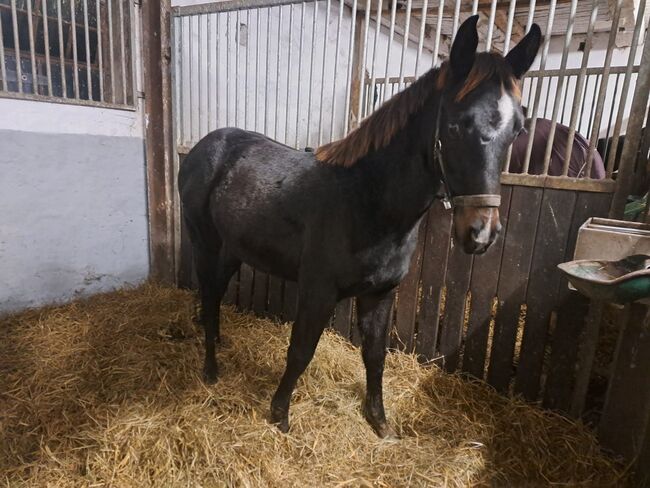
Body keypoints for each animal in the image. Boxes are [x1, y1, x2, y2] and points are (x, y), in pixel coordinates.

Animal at [180, 17, 540, 438]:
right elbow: (301, 350)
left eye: (518, 129)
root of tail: (207, 146)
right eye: (454, 125)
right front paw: (280, 414)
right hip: (204, 242)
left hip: (234, 249)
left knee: (216, 294)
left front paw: (379, 421)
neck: (367, 201)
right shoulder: (318, 291)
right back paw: (210, 369)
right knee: (208, 292)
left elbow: (374, 355)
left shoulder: (380, 294)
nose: (481, 233)